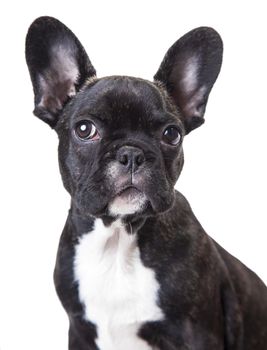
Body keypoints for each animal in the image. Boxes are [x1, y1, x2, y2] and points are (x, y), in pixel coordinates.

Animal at [25, 16, 267, 350]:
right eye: (85, 129)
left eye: (171, 134)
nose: (131, 153)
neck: (117, 238)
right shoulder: (79, 331)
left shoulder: (198, 334)